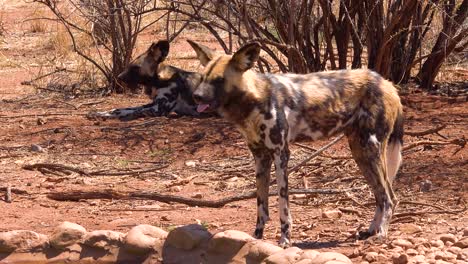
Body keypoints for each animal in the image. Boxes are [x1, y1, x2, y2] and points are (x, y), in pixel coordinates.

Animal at [188, 40, 404, 246]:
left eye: (219, 80)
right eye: (202, 78)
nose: (196, 96)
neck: (254, 101)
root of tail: (387, 83)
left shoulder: (281, 154)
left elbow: (283, 205)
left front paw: (285, 239)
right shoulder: (260, 157)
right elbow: (261, 206)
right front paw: (256, 237)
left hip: (371, 149)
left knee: (389, 197)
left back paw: (381, 233)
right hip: (360, 152)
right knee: (379, 195)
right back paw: (371, 230)